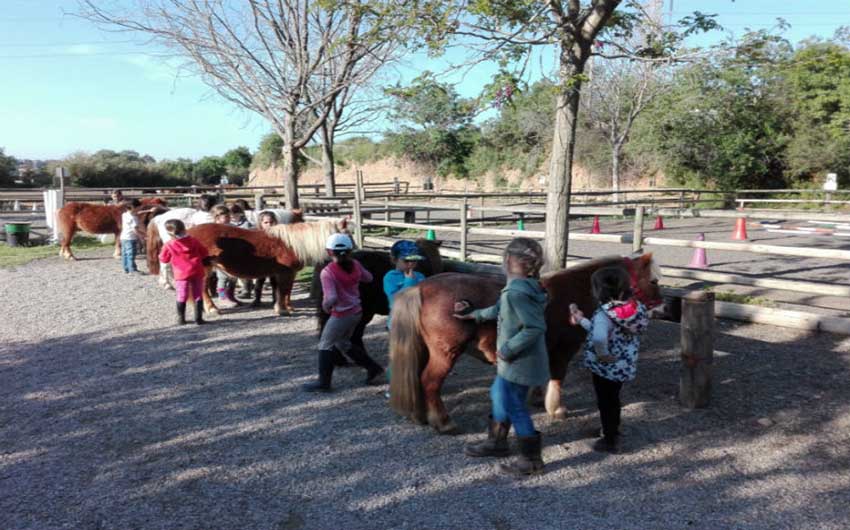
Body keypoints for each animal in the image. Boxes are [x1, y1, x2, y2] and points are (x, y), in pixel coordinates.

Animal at [388, 253, 660, 434]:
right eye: (654, 281)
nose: (663, 306)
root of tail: (421, 288)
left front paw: (537, 399)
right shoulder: (563, 352)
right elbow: (556, 378)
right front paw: (555, 408)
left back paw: (421, 415)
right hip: (445, 354)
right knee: (429, 382)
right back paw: (444, 422)